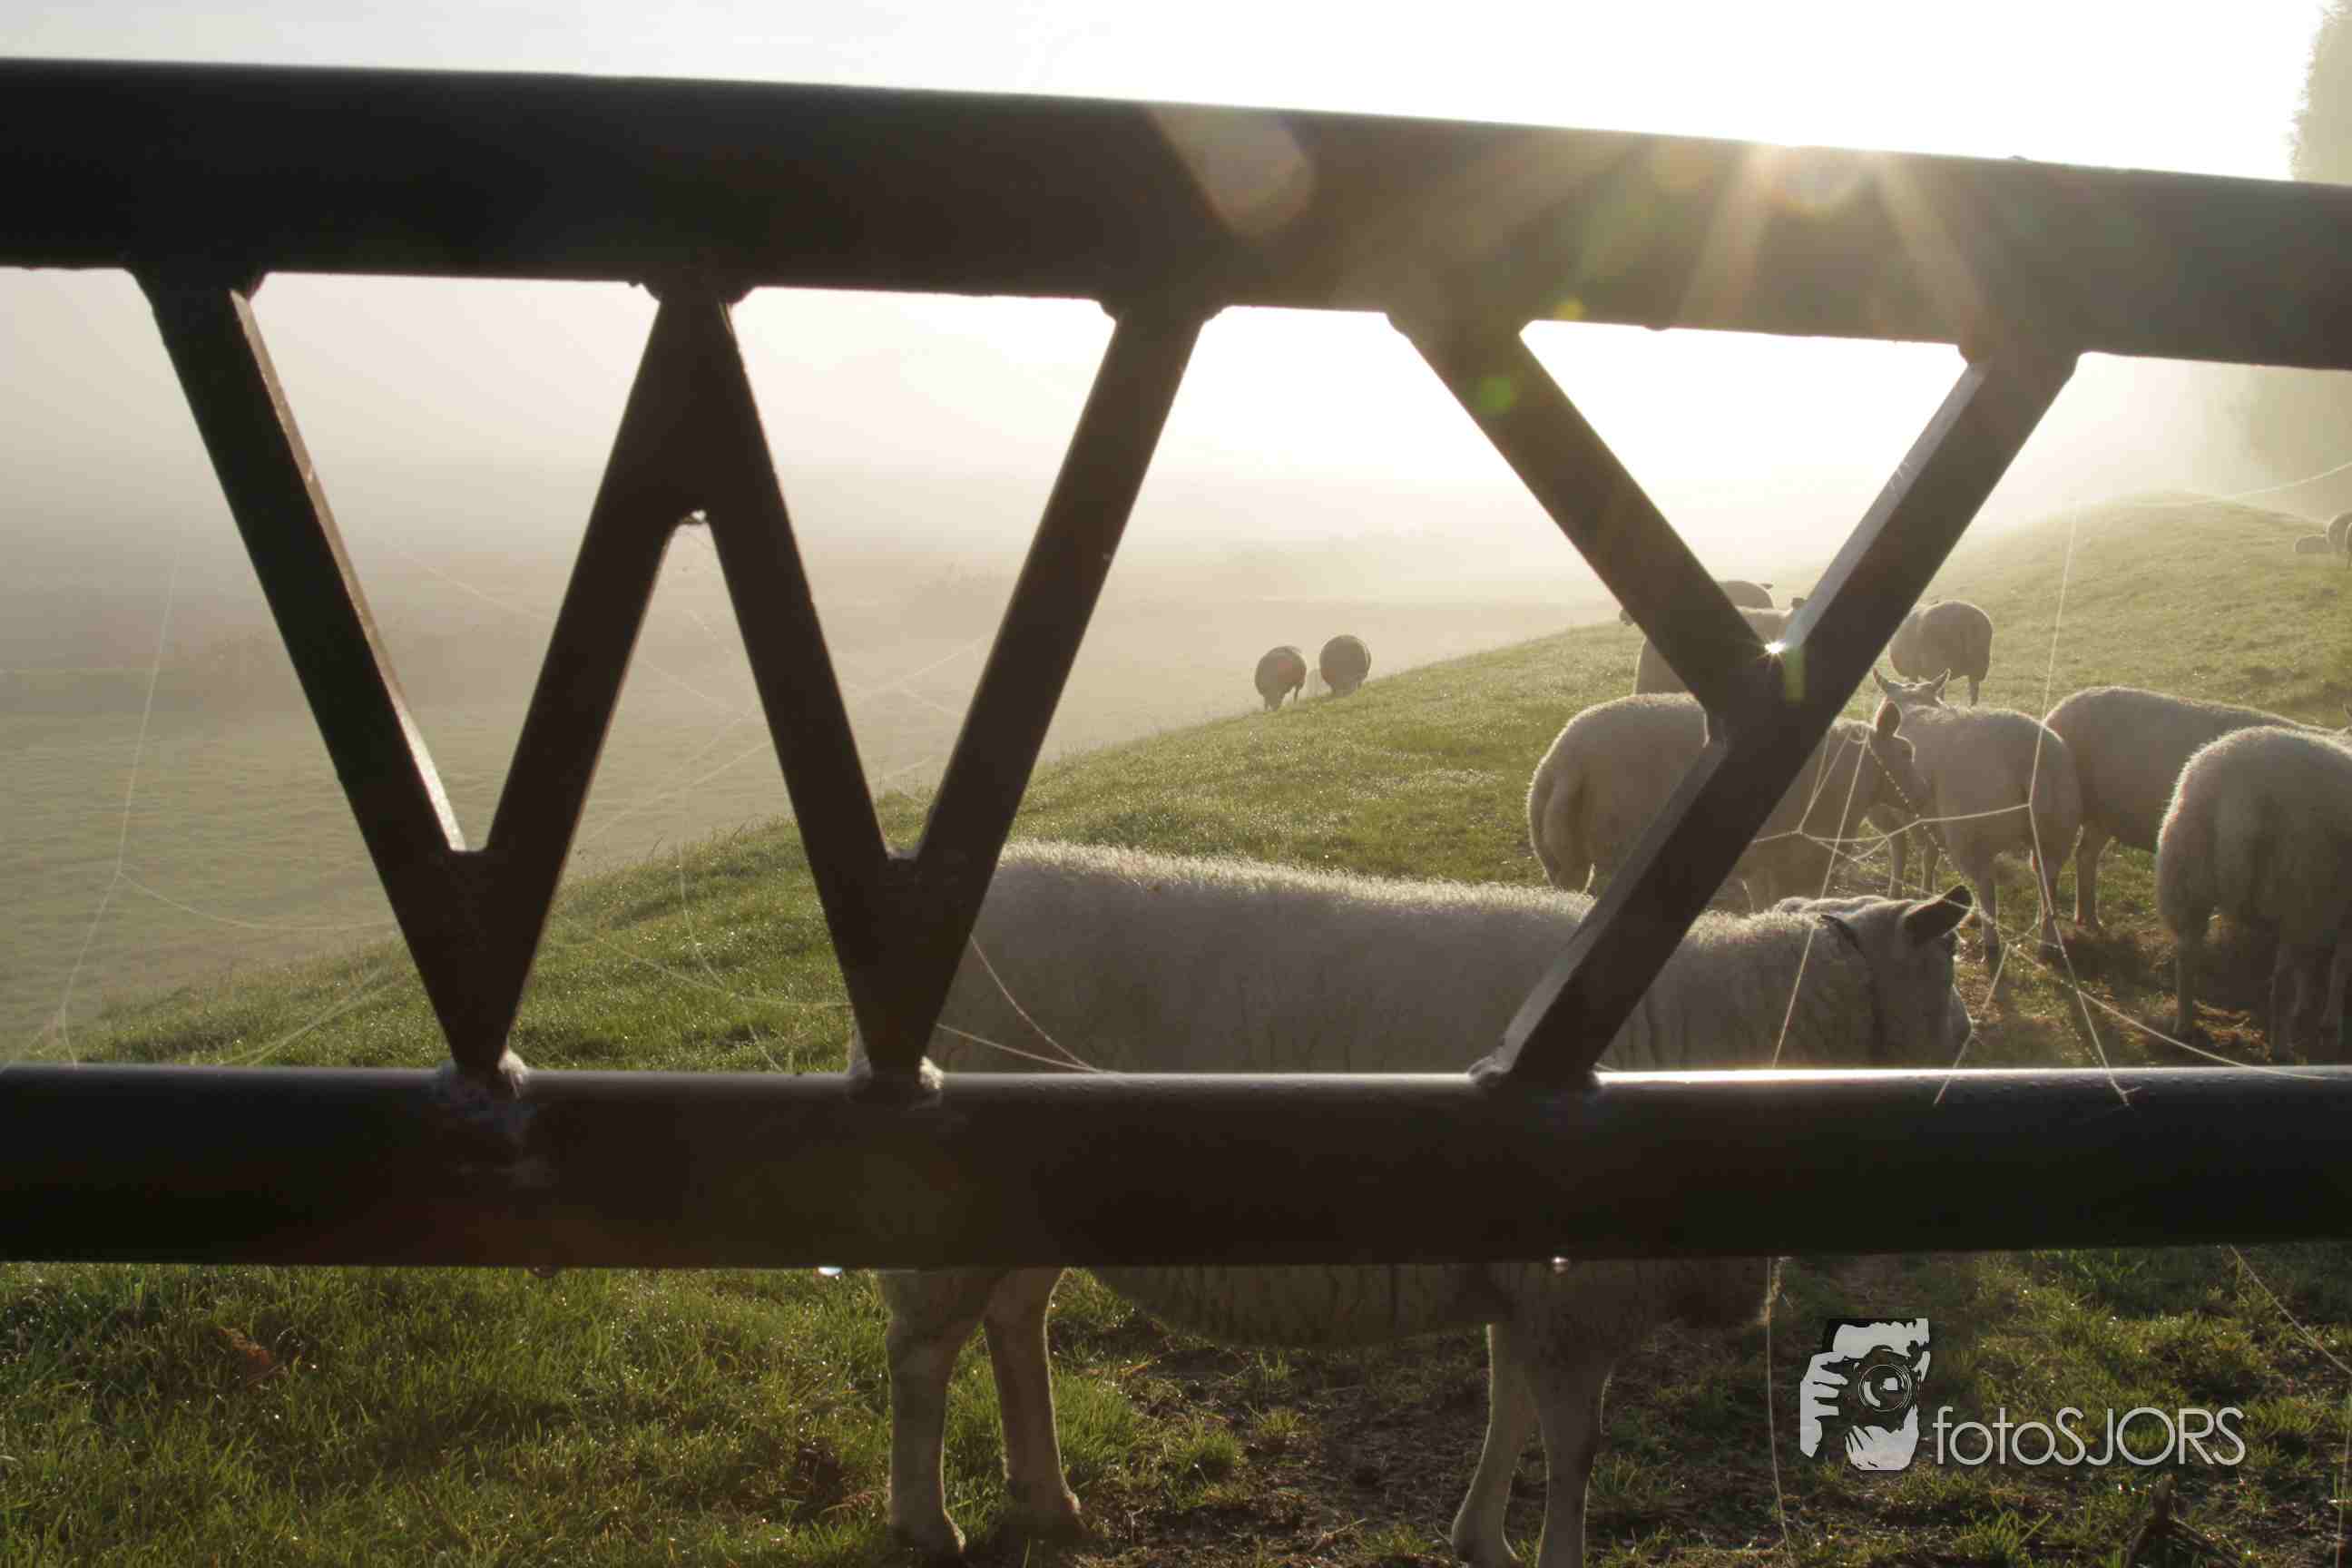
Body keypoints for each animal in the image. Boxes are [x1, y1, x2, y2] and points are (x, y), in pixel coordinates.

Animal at [868, 842, 1975, 1567]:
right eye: (1952, 994)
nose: (1968, 1055)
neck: (1743, 1023)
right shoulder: (1578, 1296)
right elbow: (1575, 1451)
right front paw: (1547, 1552)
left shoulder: (1533, 1286)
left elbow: (1509, 1408)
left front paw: (1480, 1539)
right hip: (953, 1204)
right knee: (922, 1354)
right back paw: (928, 1522)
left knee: (1015, 1320)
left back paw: (1046, 1499)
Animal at [1526, 693, 1930, 908]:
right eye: (1907, 752)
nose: (1924, 795)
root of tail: (1564, 760)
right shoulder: (1795, 864)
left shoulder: (1764, 864)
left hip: (1560, 856)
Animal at [1869, 670, 2082, 971]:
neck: (1914, 702)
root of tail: (2028, 756)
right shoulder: (1931, 822)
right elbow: (1929, 857)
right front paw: (1925, 894)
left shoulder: (1892, 816)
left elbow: (1900, 852)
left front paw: (1894, 895)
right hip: (2057, 828)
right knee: (2047, 881)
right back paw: (2048, 941)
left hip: (1970, 834)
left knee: (1986, 886)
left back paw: (1990, 941)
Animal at [2042, 686, 2342, 929]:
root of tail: (2058, 709)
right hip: (2063, 808)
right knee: (2053, 865)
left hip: (2104, 814)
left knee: (2085, 855)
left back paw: (2090, 919)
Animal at [2156, 726, 2352, 1059]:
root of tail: (2241, 794)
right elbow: (2339, 967)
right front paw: (2330, 1024)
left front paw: (2307, 1011)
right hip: (2298, 887)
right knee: (2282, 983)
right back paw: (2281, 1049)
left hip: (2189, 875)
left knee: (2186, 956)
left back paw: (2184, 1027)